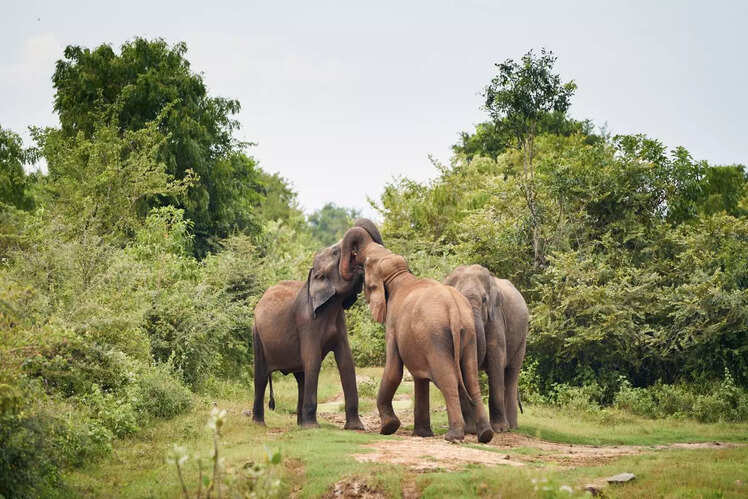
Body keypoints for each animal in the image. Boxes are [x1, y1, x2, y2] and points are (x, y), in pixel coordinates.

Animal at [251, 219, 383, 429]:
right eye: (336, 252)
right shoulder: (306, 322)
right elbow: (313, 360)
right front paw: (314, 427)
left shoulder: (339, 322)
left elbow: (346, 361)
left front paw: (355, 428)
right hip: (257, 333)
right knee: (262, 376)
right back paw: (260, 424)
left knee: (301, 377)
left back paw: (300, 424)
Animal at [339, 227, 493, 443]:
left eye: (366, 264)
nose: (354, 265)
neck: (399, 274)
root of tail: (453, 310)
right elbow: (420, 378)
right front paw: (422, 434)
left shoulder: (393, 326)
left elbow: (394, 370)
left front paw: (388, 428)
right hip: (469, 336)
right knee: (471, 378)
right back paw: (486, 435)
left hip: (436, 338)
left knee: (448, 380)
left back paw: (453, 436)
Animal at [444, 264, 529, 432]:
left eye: (484, 300)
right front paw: (469, 430)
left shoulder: (496, 318)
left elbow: (496, 360)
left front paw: (499, 429)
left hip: (522, 338)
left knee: (511, 374)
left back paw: (511, 427)